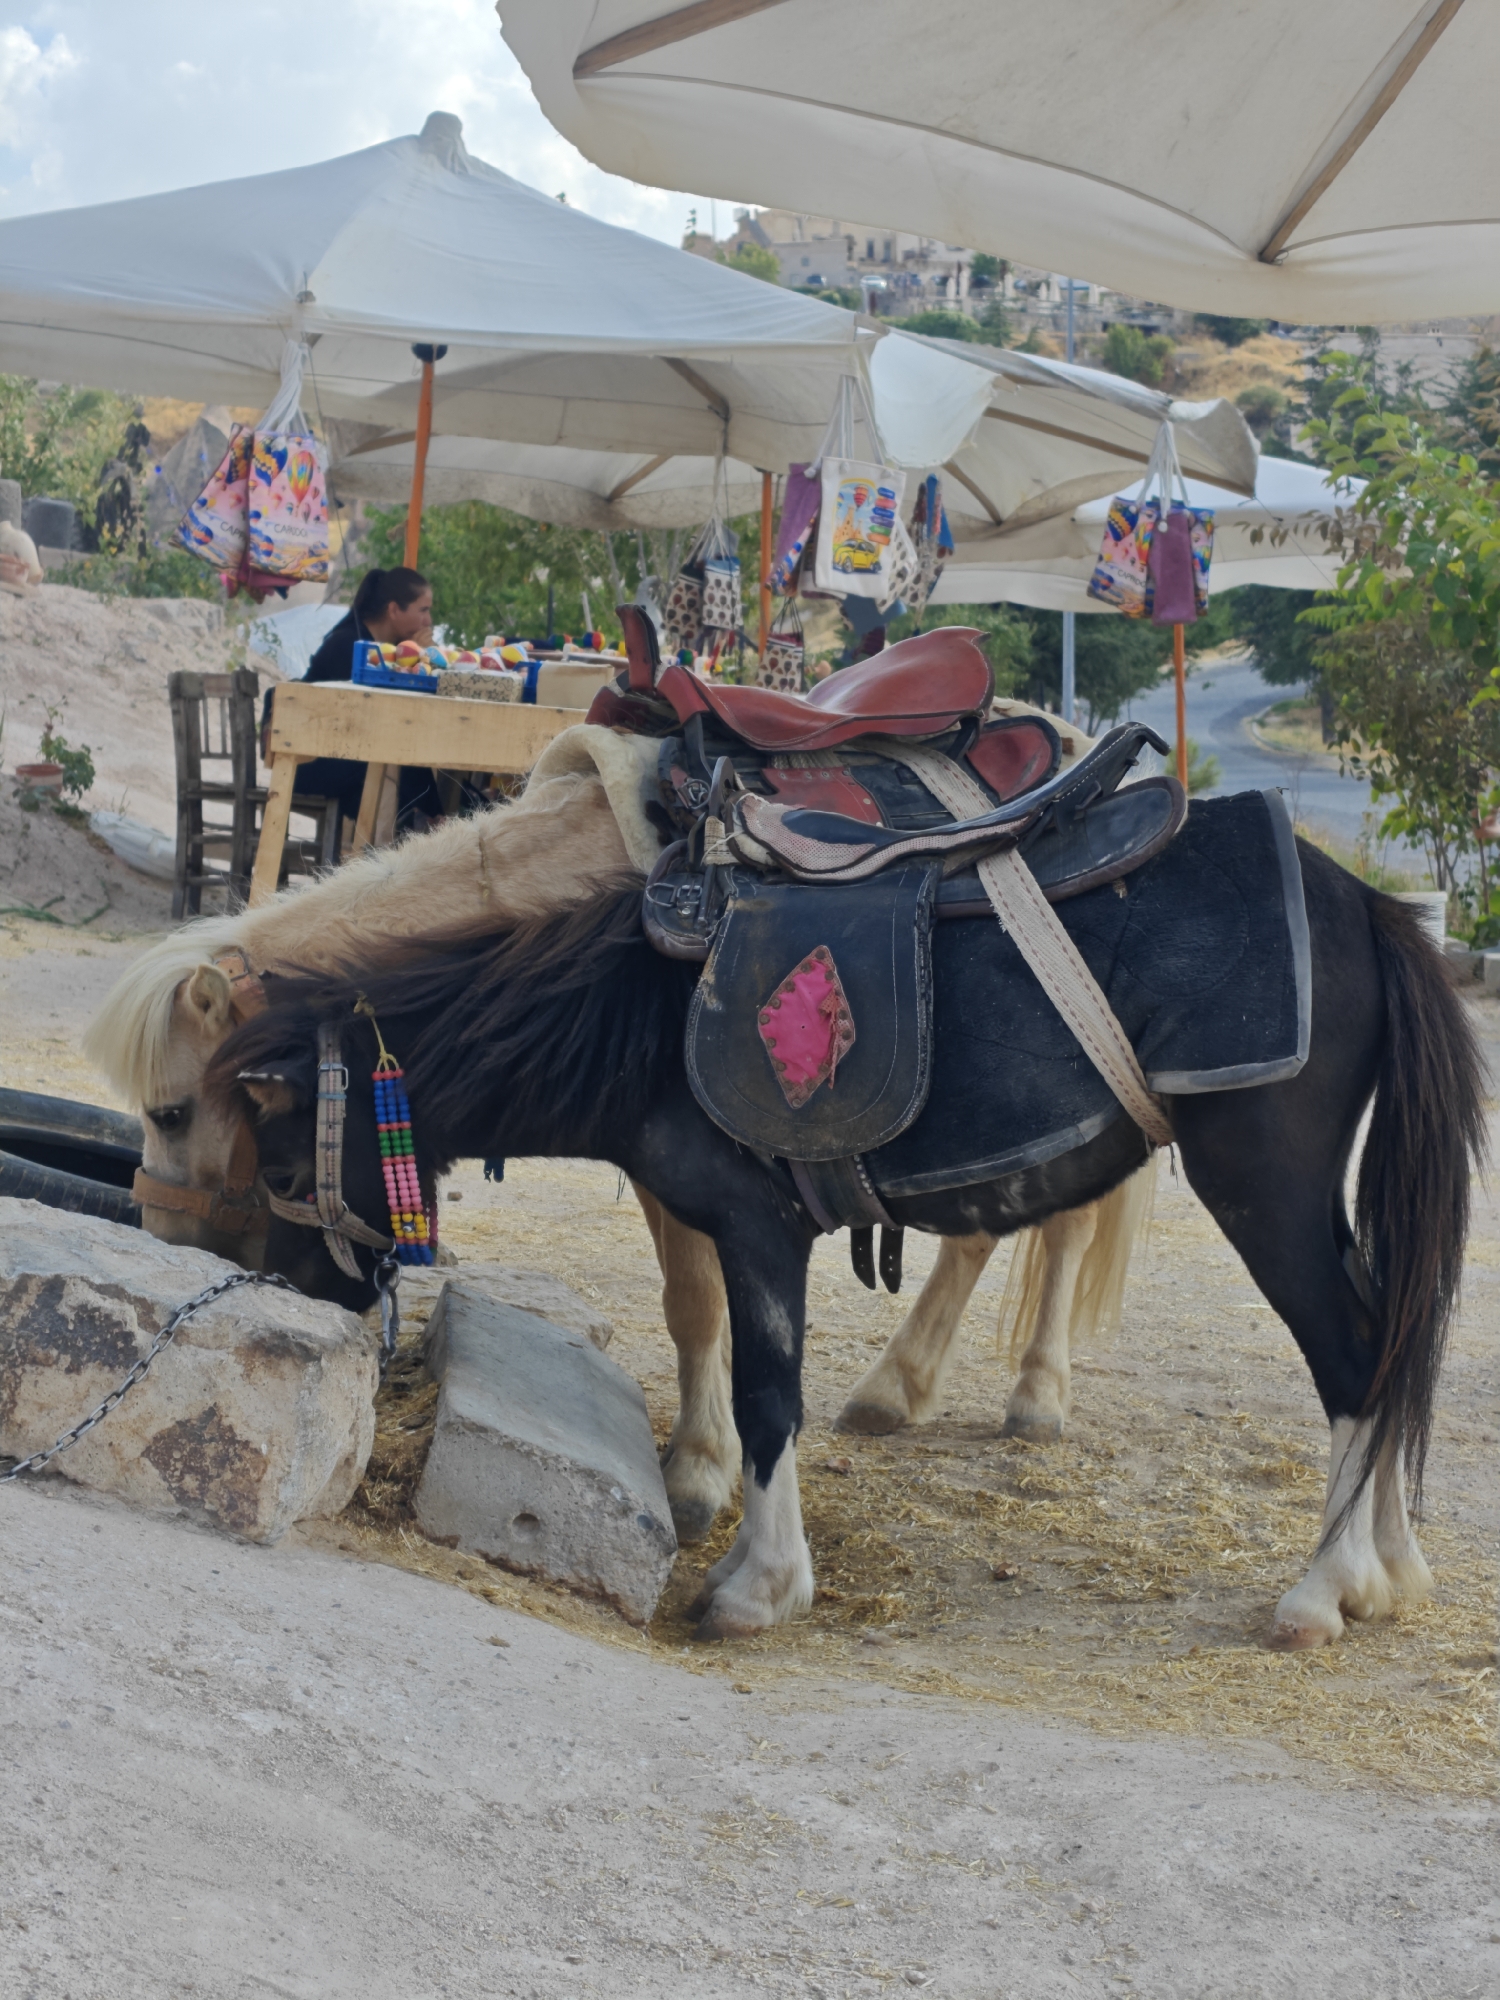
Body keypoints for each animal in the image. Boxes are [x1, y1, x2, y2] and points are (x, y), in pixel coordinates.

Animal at [83, 753, 1148, 1541]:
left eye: (172, 1112)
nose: (175, 1247)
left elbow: (702, 1303)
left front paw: (699, 1473)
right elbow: (696, 1306)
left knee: (1062, 1228)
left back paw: (1033, 1394)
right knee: (984, 1232)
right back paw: (899, 1387)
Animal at [209, 837, 1483, 1650]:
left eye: (287, 1173)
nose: (308, 1298)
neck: (643, 1017)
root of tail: (1366, 903)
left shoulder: (760, 1229)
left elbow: (771, 1394)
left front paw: (758, 1588)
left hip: (1265, 1185)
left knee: (1352, 1353)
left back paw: (1322, 1590)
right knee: (1387, 1337)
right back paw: (1388, 1571)